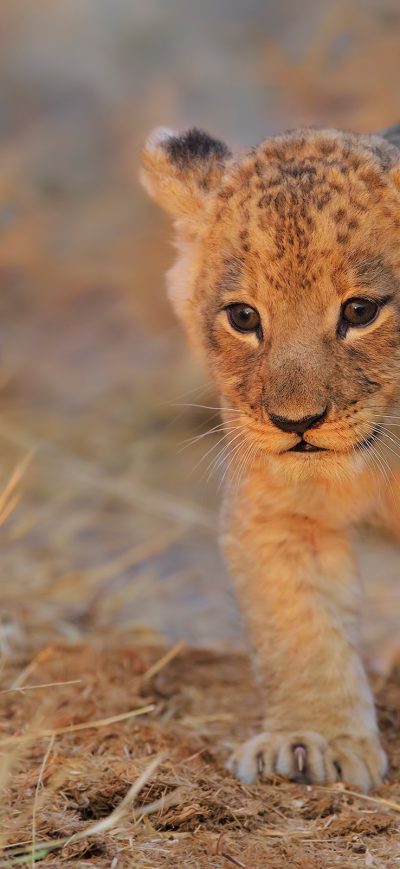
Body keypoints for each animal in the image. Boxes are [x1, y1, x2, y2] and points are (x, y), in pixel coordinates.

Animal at [140, 123, 400, 791]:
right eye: (243, 317)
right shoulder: (278, 513)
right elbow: (300, 628)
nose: (296, 424)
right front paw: (314, 740)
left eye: (361, 311)